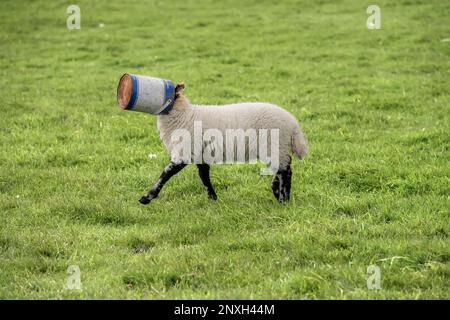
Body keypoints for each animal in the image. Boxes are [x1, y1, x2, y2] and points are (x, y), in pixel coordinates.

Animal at [140, 84, 310, 204]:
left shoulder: (184, 151)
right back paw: (281, 194)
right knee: (284, 168)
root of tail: (293, 124)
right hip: (279, 147)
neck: (185, 115)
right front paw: (213, 198)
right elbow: (204, 176)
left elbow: (166, 173)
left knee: (284, 171)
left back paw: (282, 198)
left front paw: (147, 197)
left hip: (273, 144)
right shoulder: (201, 153)